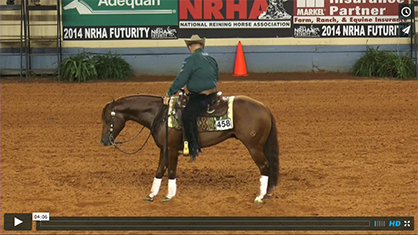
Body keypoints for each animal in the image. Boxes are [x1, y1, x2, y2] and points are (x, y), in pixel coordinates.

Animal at [99, 93, 280, 204]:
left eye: (108, 119)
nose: (103, 141)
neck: (160, 114)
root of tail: (264, 107)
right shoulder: (164, 148)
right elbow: (160, 170)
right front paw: (151, 195)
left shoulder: (171, 148)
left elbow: (171, 170)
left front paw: (169, 195)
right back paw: (268, 194)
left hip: (254, 147)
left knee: (265, 166)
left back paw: (259, 196)